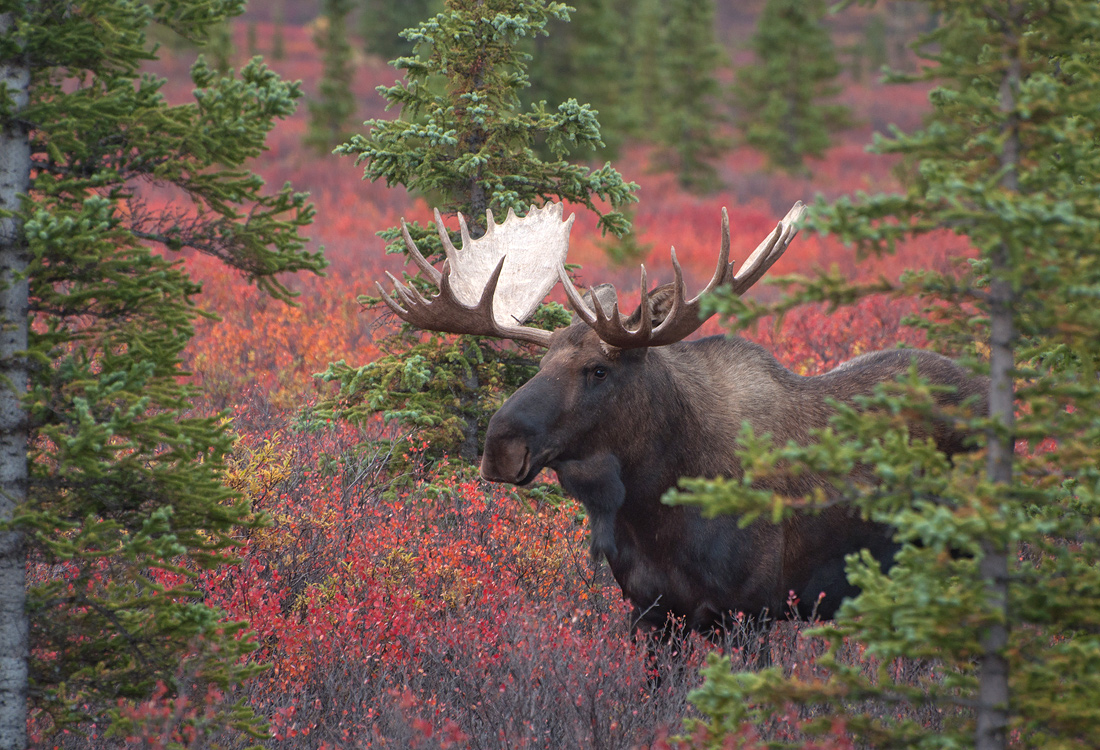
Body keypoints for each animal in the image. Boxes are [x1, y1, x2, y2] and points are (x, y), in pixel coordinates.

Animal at [377, 202, 987, 647]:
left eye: (598, 369)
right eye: (539, 364)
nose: (499, 447)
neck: (655, 507)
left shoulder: (752, 613)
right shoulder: (650, 615)